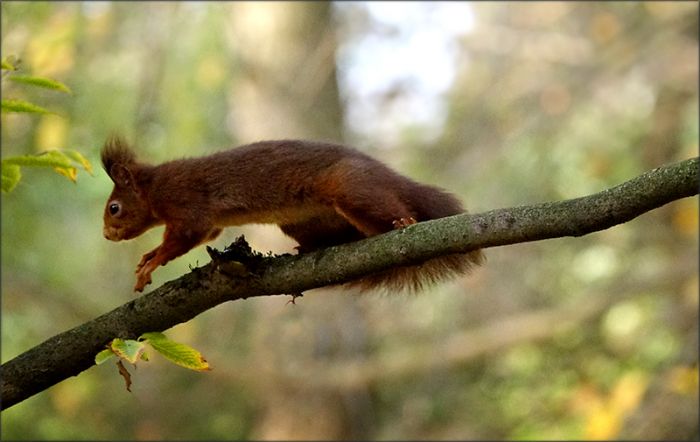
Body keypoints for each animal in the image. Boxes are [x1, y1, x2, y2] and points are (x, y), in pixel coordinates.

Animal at [101, 136, 484, 292]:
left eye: (114, 208)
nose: (106, 235)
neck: (152, 188)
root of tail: (385, 173)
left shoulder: (185, 202)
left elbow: (188, 234)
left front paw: (151, 263)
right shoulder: (203, 223)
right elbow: (202, 236)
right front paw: (148, 256)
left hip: (351, 189)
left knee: (392, 208)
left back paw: (402, 222)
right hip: (304, 222)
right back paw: (312, 248)